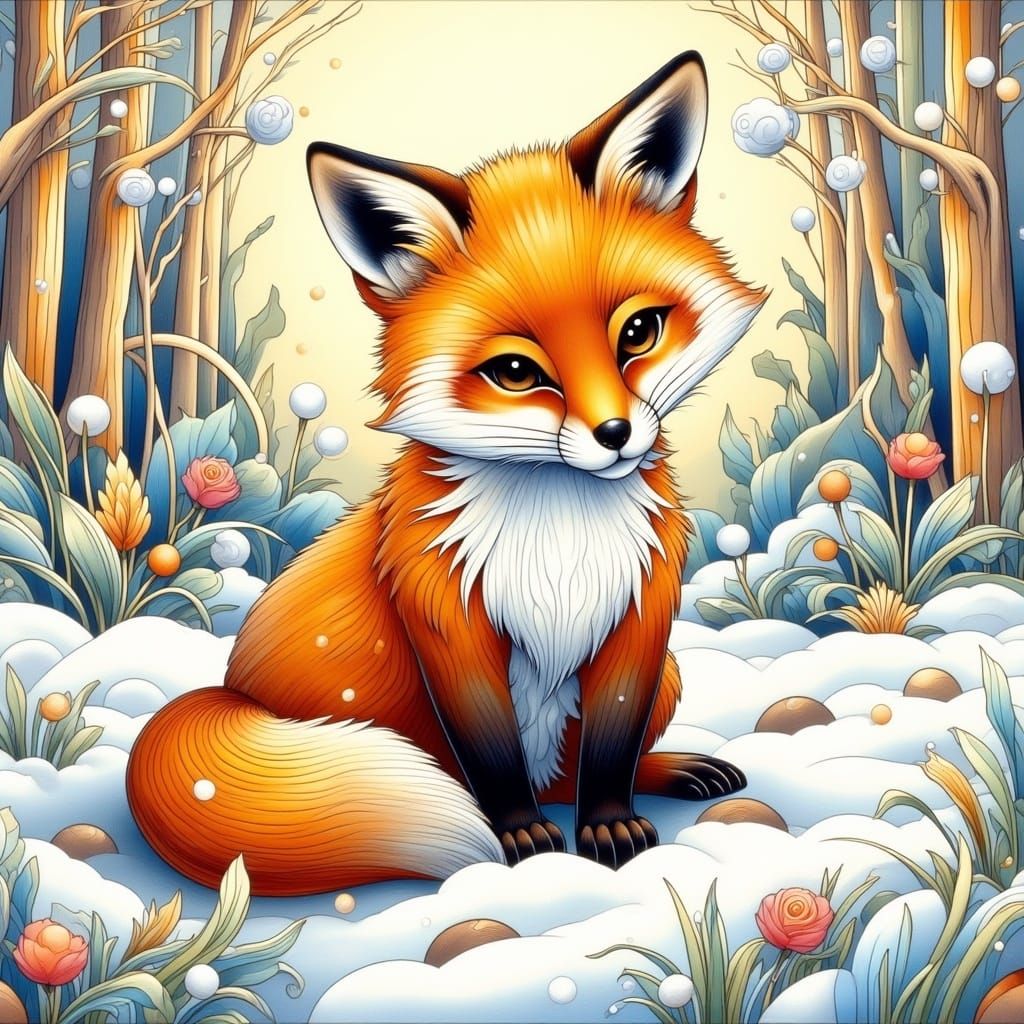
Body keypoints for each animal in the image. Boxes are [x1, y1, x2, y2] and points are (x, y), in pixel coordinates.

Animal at [127, 51, 766, 896]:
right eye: (516, 372)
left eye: (639, 332)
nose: (616, 435)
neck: (560, 535)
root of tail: (226, 691)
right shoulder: (448, 620)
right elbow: (490, 756)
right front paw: (520, 838)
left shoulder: (639, 616)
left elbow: (610, 750)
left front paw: (609, 825)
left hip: (668, 677)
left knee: (582, 768)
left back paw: (669, 771)